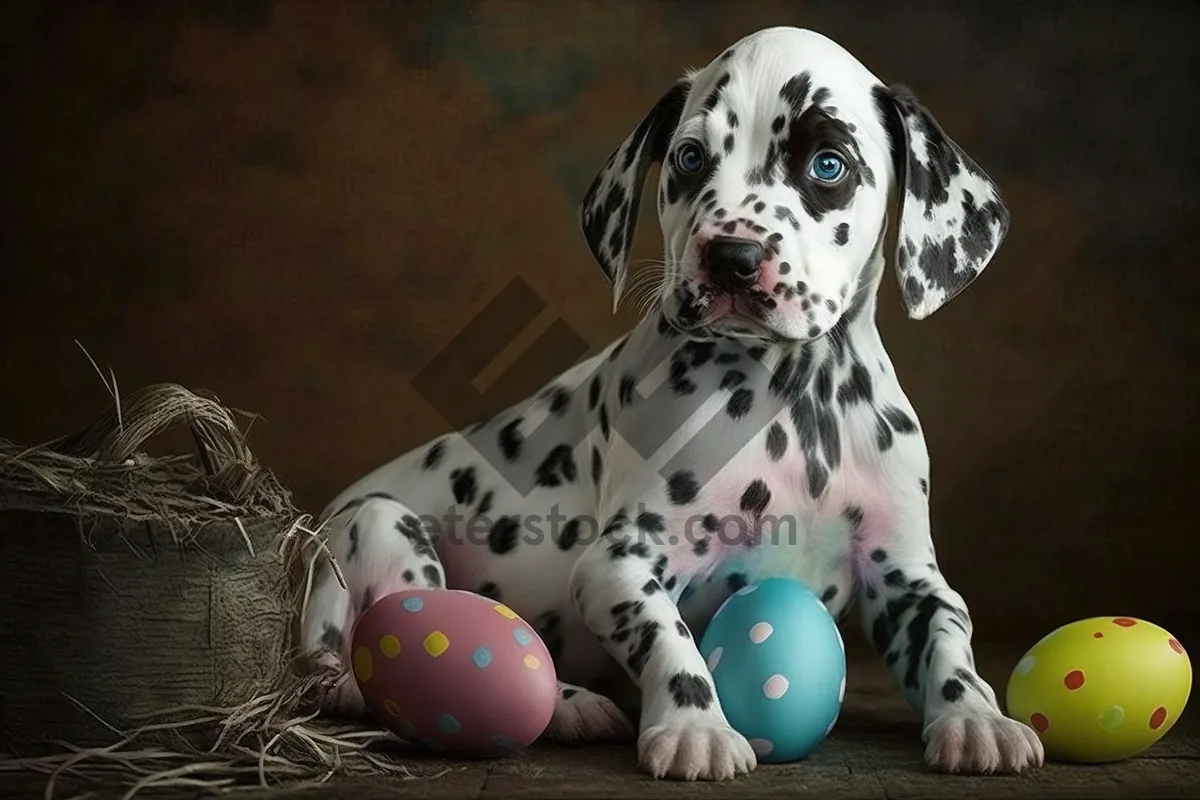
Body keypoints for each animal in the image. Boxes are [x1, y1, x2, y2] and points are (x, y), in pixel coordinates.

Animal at [300, 26, 1041, 782]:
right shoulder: (619, 564)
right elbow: (670, 638)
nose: (733, 256)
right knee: (359, 672)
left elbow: (951, 641)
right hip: (379, 527)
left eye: (828, 164)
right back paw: (562, 702)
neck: (795, 402)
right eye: (689, 158)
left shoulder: (910, 580)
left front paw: (977, 716)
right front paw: (696, 727)